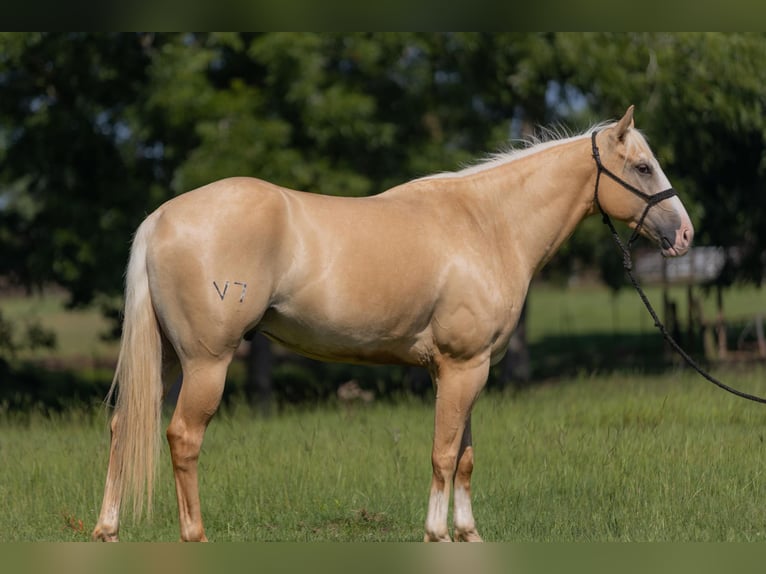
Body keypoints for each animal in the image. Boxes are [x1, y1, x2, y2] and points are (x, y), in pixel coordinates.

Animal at [91, 106, 696, 544]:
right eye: (643, 167)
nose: (685, 234)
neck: (488, 225)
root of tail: (160, 219)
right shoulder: (463, 367)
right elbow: (444, 454)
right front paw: (436, 534)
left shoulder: (461, 371)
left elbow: (465, 457)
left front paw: (468, 535)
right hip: (206, 363)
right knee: (182, 437)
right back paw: (195, 535)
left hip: (168, 359)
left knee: (123, 427)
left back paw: (107, 531)